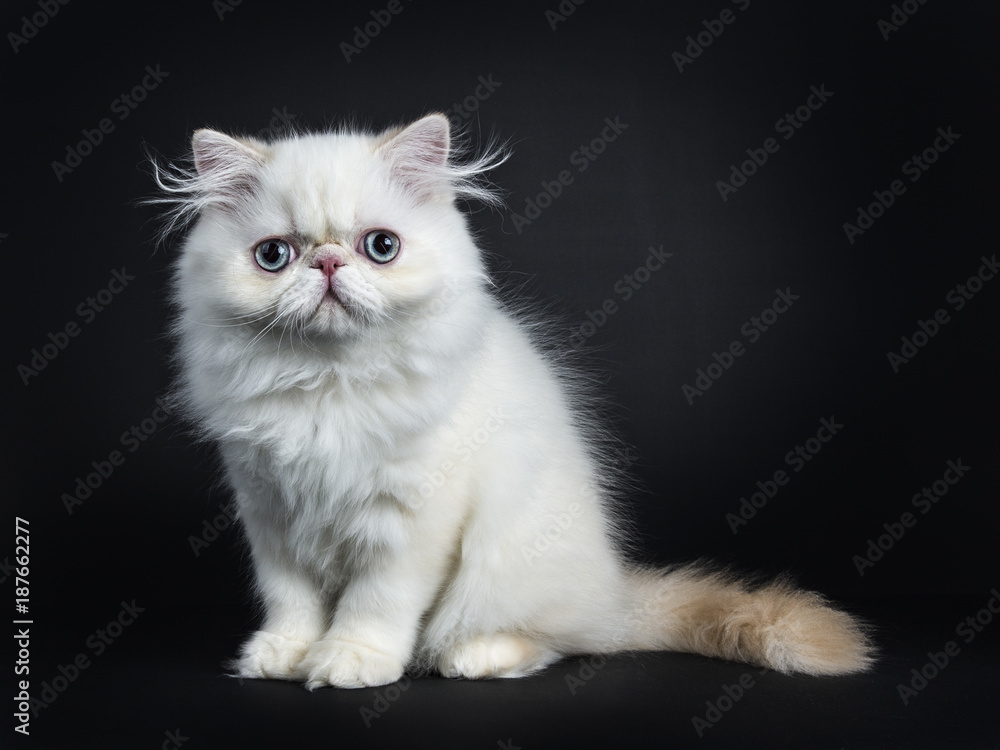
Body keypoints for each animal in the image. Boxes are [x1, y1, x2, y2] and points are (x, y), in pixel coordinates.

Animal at [152, 114, 872, 692]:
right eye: (274, 256)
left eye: (380, 246)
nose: (327, 264)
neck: (328, 385)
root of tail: (614, 593)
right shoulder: (269, 510)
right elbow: (290, 600)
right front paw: (283, 655)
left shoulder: (413, 518)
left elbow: (374, 604)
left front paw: (349, 662)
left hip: (513, 557)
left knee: (553, 640)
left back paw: (472, 656)